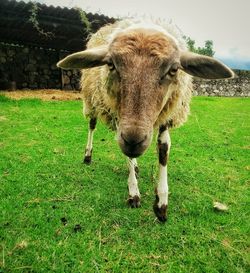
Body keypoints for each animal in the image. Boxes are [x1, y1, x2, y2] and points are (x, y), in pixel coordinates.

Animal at [57, 19, 235, 222]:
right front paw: (133, 193)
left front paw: (161, 202)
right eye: (110, 64)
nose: (134, 141)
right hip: (92, 99)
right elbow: (125, 152)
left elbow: (164, 148)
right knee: (92, 125)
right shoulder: (119, 117)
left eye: (174, 69)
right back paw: (88, 155)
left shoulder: (167, 113)